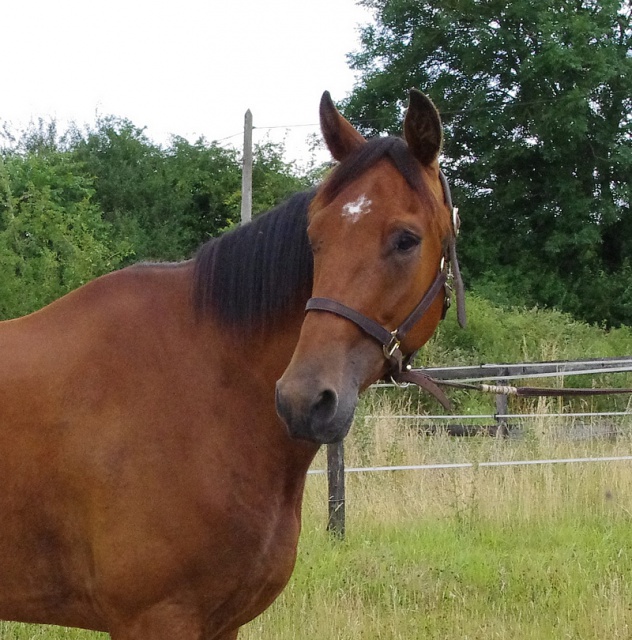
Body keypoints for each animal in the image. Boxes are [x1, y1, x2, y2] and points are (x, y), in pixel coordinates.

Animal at [0, 91, 464, 640]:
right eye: (315, 238)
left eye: (407, 239)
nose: (305, 400)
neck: (212, 388)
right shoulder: (154, 619)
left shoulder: (224, 623)